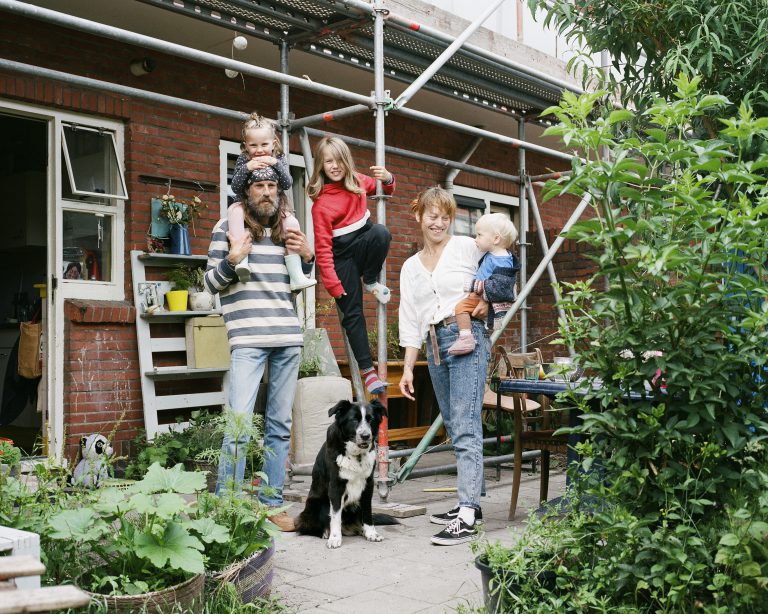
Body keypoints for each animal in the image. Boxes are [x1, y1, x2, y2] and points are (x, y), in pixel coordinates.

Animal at [294, 402, 390, 552]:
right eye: (354, 420)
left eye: (371, 419)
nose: (365, 435)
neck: (356, 455)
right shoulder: (335, 486)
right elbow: (335, 515)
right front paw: (334, 538)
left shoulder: (368, 484)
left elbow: (367, 512)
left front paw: (371, 533)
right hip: (319, 505)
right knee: (307, 527)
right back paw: (325, 532)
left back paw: (360, 530)